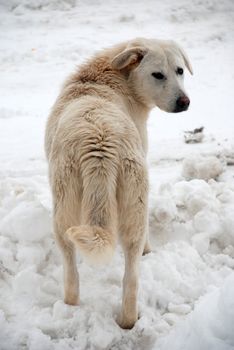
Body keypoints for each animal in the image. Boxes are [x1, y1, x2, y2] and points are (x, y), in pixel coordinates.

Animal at [44, 37, 192, 328]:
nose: (184, 102)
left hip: (64, 211)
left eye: (180, 70)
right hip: (134, 199)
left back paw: (70, 306)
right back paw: (127, 320)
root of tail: (100, 147)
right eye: (158, 74)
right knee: (131, 276)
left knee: (71, 272)